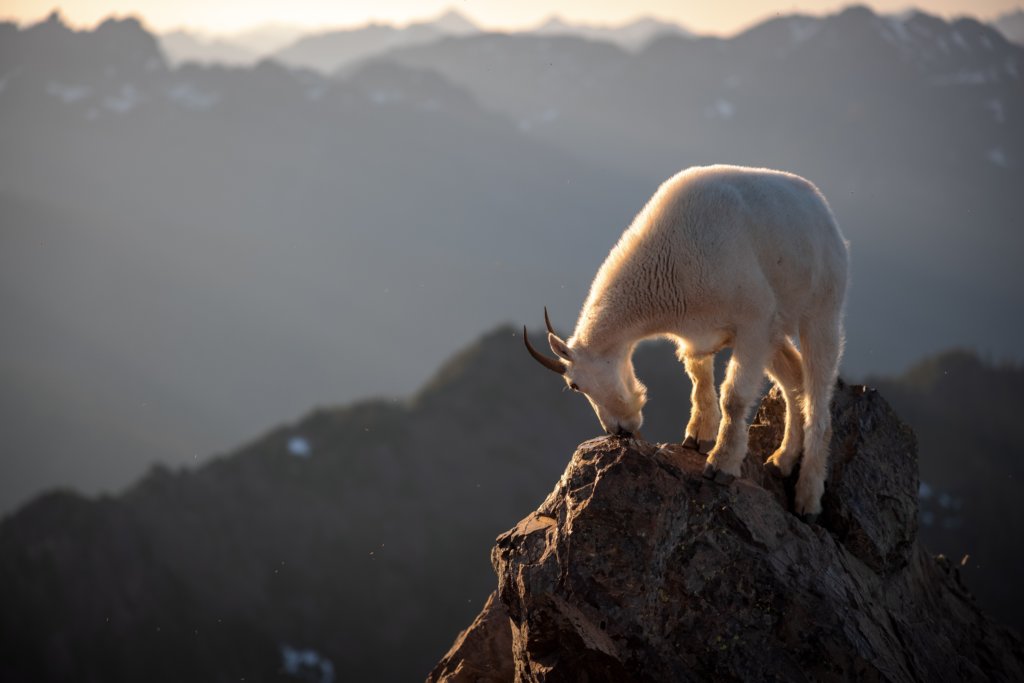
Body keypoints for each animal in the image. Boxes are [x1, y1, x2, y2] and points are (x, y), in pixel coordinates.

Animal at [524, 165, 843, 518]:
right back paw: (782, 460)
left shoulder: (755, 321)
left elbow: (734, 397)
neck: (671, 261)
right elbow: (699, 378)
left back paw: (808, 496)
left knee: (817, 394)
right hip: (777, 332)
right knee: (794, 381)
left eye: (575, 385)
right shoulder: (698, 336)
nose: (618, 430)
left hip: (822, 311)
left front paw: (721, 464)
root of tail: (822, 209)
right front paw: (697, 437)